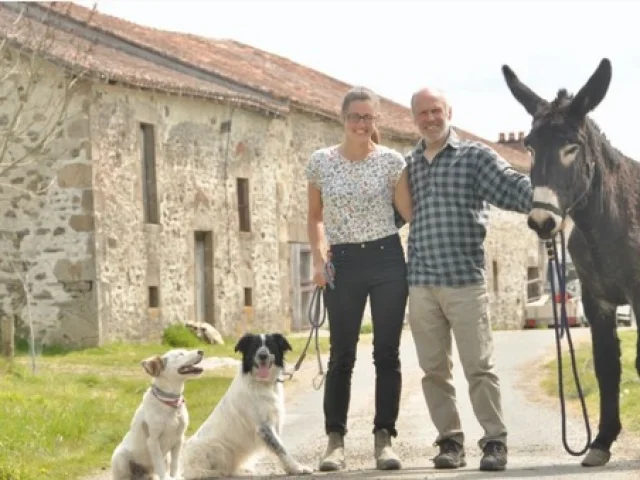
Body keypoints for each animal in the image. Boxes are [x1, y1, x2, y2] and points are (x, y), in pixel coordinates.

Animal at [111, 346, 204, 478]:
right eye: (180, 354)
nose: (201, 351)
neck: (169, 403)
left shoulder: (179, 438)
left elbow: (175, 464)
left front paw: (175, 477)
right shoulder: (153, 441)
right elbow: (160, 465)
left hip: (164, 458)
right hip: (120, 458)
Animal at [180, 332, 312, 478]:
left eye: (270, 345)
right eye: (255, 346)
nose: (262, 355)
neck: (261, 383)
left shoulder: (274, 422)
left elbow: (279, 446)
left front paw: (290, 468)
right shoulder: (263, 427)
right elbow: (280, 448)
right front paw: (296, 468)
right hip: (218, 448)